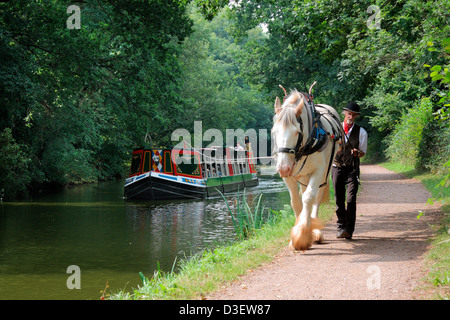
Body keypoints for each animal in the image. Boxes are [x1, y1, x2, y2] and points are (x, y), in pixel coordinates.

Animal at [272, 89, 342, 251]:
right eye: (274, 132)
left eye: (297, 132)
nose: (283, 168)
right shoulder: (289, 177)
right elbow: (296, 202)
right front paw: (297, 233)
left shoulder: (318, 172)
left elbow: (310, 198)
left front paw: (302, 235)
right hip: (303, 176)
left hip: (323, 174)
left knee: (316, 197)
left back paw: (315, 230)